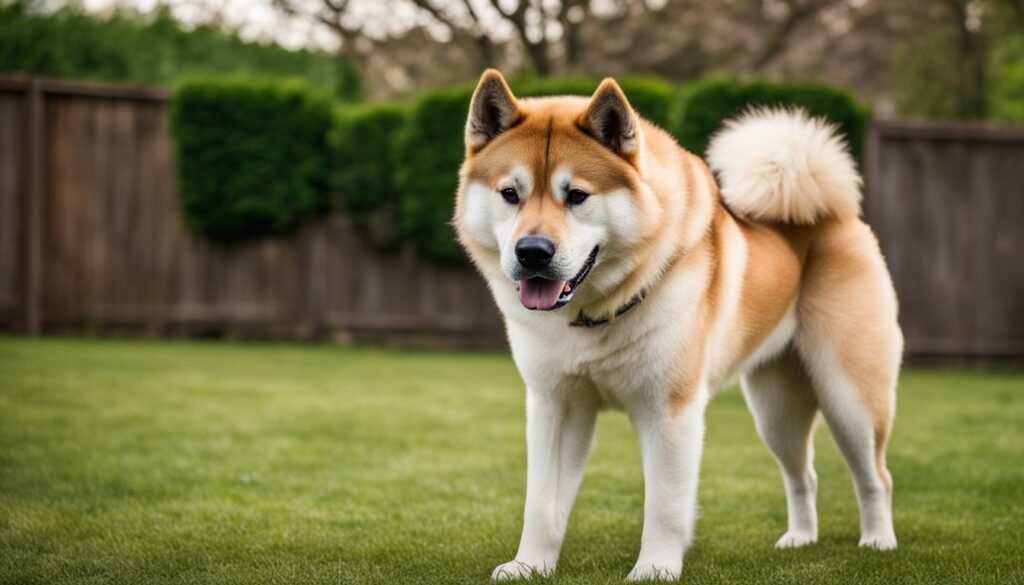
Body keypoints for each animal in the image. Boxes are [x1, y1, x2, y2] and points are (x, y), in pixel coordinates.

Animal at [452, 69, 901, 581]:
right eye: (510, 194)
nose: (532, 252)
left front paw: (655, 569)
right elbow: (542, 502)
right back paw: (800, 538)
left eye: (577, 196)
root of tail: (832, 212)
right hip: (776, 411)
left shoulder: (670, 411)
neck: (593, 315)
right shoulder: (555, 406)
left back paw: (878, 540)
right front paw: (530, 565)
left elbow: (664, 503)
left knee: (875, 476)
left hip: (849, 399)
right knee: (802, 474)